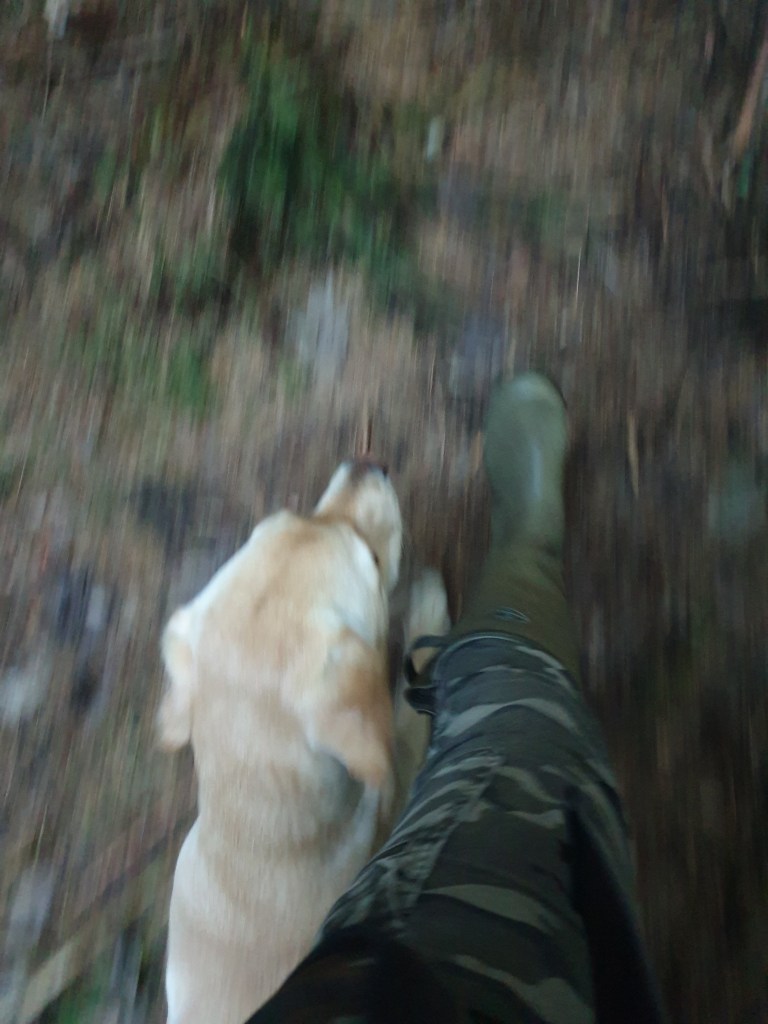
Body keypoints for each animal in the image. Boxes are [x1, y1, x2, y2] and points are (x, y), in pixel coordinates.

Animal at [158, 458, 447, 1024]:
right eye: (371, 562)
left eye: (293, 515)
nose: (367, 464)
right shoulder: (394, 791)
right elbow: (405, 714)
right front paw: (426, 605)